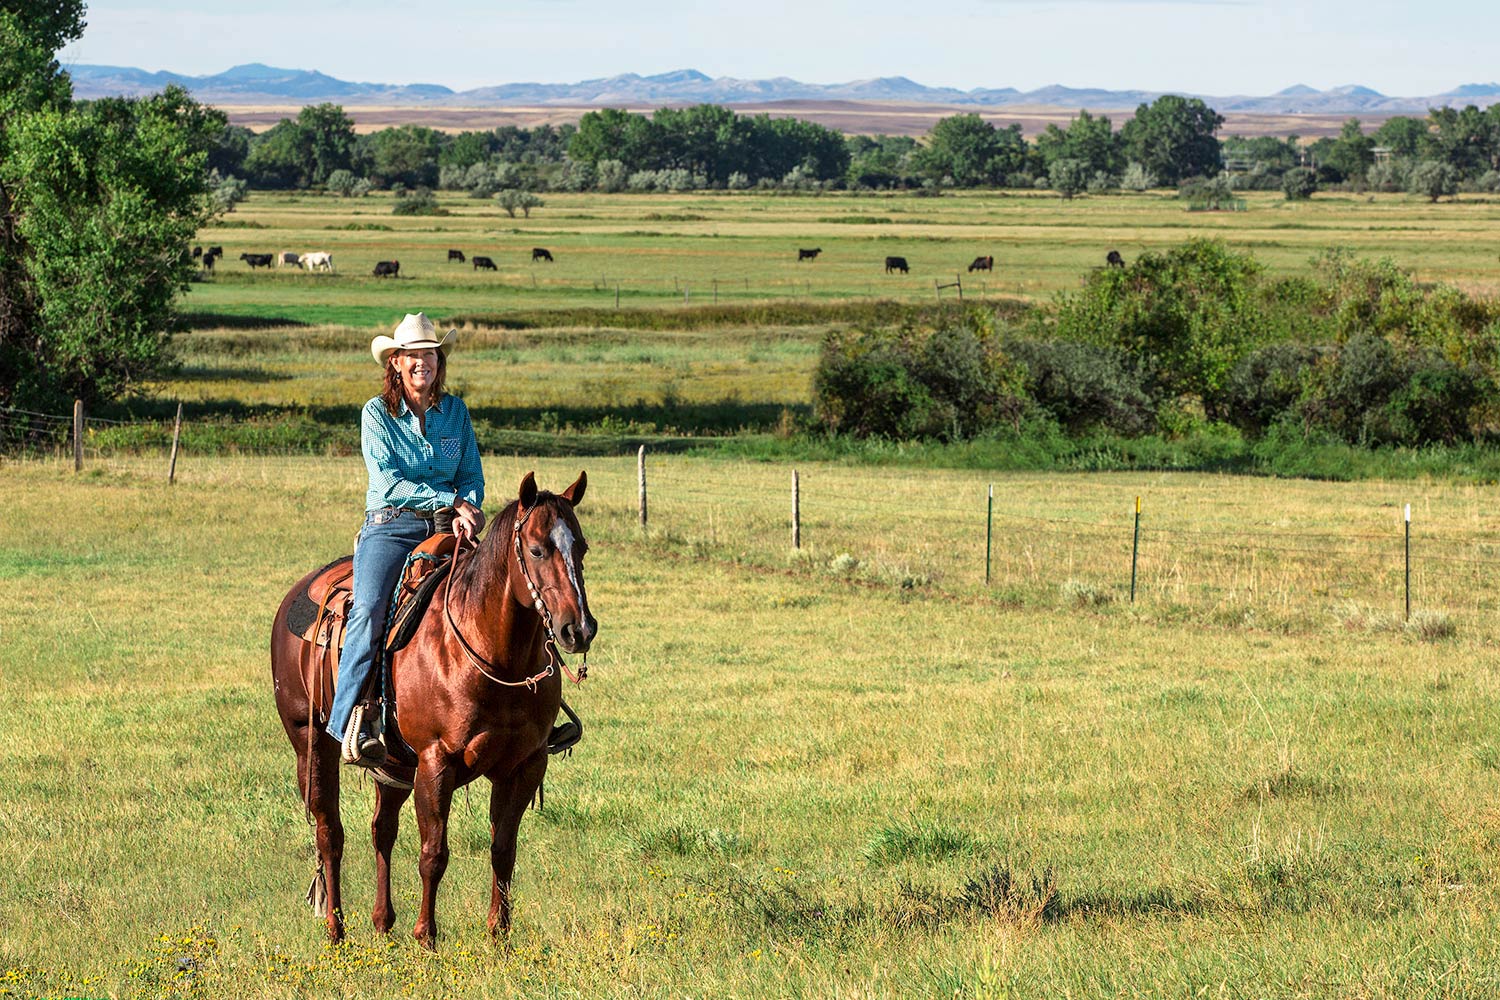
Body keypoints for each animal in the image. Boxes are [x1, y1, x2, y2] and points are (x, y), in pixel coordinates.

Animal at [270, 473, 597, 953]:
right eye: (537, 549)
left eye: (582, 547)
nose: (579, 629)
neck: (491, 651)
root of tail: (296, 594)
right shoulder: (435, 761)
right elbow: (433, 853)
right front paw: (427, 937)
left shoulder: (525, 765)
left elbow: (503, 849)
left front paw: (499, 936)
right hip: (309, 741)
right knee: (330, 833)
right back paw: (336, 930)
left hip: (392, 762)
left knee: (381, 829)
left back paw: (383, 922)